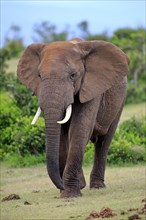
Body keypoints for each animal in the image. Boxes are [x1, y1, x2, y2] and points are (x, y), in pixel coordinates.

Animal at [16, 37, 129, 198]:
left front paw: (69, 194)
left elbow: (79, 128)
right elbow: (62, 135)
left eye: (73, 75)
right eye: (39, 76)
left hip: (120, 101)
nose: (61, 185)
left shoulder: (91, 87)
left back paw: (97, 187)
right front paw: (68, 189)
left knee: (103, 141)